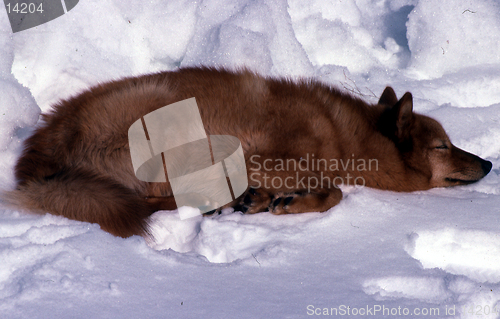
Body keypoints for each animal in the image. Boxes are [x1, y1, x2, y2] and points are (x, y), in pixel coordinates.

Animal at [5, 67, 492, 238]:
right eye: (443, 146)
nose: (489, 162)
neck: (343, 134)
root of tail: (38, 155)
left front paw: (267, 199)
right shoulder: (258, 156)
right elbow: (334, 192)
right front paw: (286, 202)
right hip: (171, 128)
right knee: (152, 201)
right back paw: (222, 203)